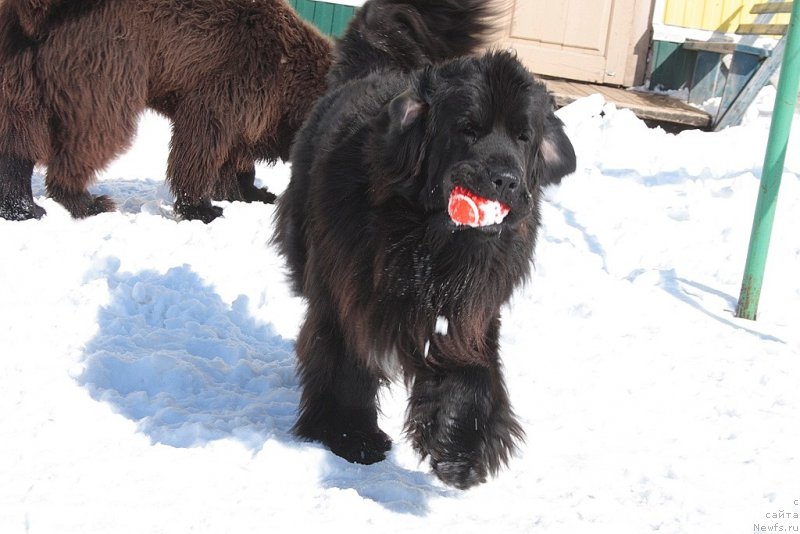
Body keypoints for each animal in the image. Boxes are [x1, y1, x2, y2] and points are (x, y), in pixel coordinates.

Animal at [0, 0, 332, 222]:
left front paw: (251, 192)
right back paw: (88, 201)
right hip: (108, 57)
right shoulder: (231, 82)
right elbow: (203, 145)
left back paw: (22, 208)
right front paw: (203, 207)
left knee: (19, 136)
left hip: (23, 64)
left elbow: (235, 155)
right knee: (93, 132)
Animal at [276, 0, 576, 490]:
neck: (430, 242)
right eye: (468, 129)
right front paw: (350, 435)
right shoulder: (348, 293)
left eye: (523, 136)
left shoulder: (468, 309)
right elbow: (346, 359)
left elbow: (472, 374)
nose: (507, 179)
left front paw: (460, 448)